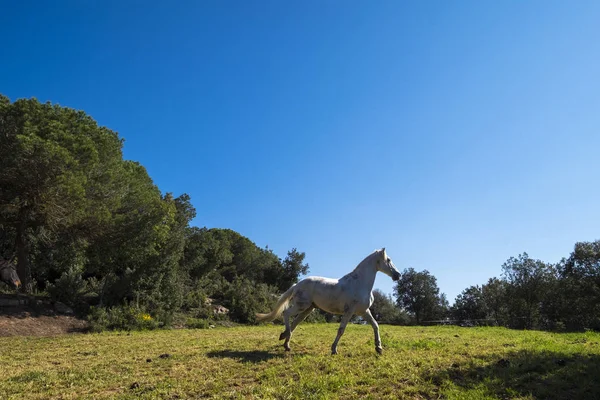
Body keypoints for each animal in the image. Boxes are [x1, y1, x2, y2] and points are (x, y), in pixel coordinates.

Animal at [255, 248, 400, 354]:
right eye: (388, 259)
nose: (398, 275)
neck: (359, 283)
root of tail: (297, 285)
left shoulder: (364, 311)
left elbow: (375, 325)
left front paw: (379, 348)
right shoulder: (349, 311)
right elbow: (341, 330)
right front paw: (334, 349)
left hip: (307, 309)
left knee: (295, 323)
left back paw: (286, 343)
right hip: (301, 306)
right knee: (286, 314)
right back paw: (284, 335)